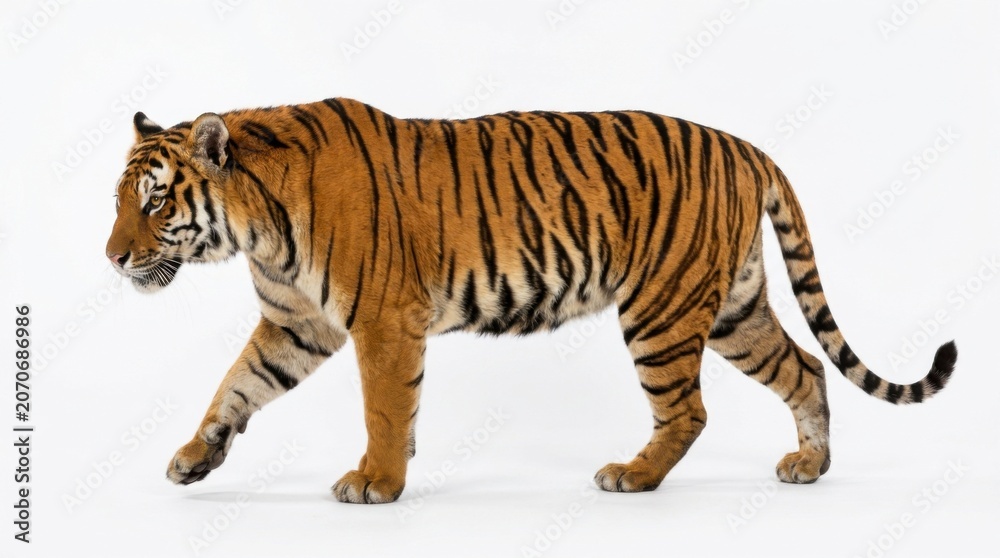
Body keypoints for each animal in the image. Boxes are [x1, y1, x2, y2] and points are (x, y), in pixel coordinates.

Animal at [105, 98, 957, 504]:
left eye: (154, 202)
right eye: (119, 200)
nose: (111, 259)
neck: (255, 226)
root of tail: (747, 147)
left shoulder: (382, 320)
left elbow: (384, 407)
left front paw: (377, 483)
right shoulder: (295, 324)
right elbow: (235, 386)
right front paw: (194, 458)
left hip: (662, 309)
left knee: (689, 410)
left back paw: (632, 476)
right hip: (732, 309)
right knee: (806, 368)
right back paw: (809, 465)